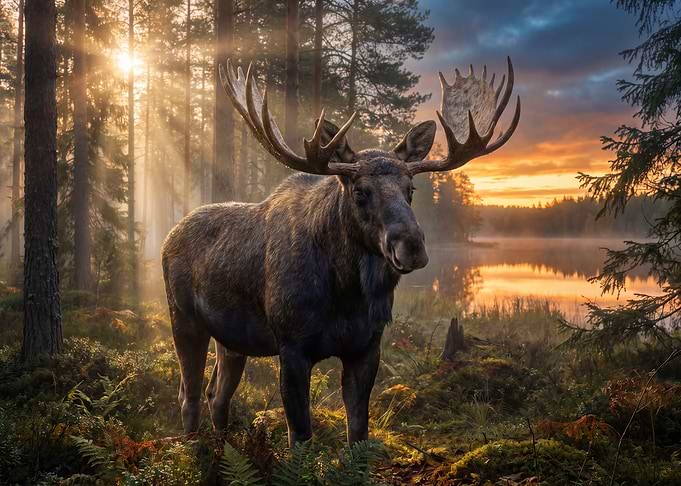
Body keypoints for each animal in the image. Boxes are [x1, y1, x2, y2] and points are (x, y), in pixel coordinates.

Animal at [161, 58, 520, 446]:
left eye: (410, 189)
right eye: (360, 191)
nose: (412, 247)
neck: (347, 293)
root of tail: (168, 236)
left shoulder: (367, 346)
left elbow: (358, 432)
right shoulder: (292, 345)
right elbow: (301, 437)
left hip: (231, 339)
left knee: (217, 394)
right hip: (184, 319)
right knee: (188, 396)